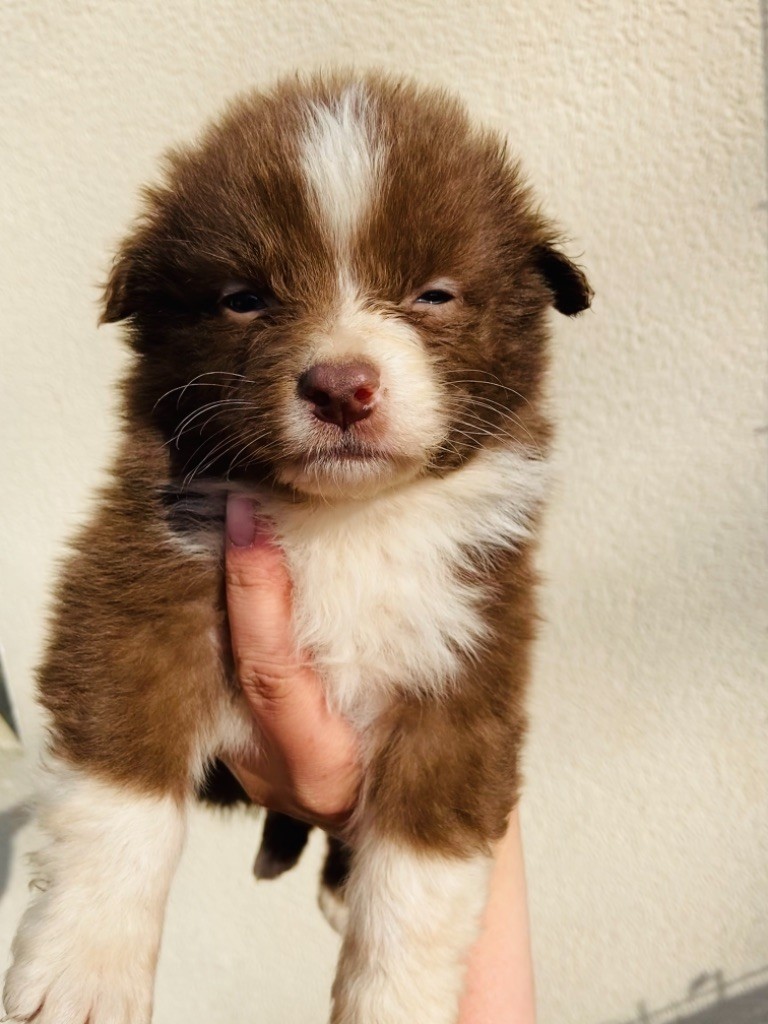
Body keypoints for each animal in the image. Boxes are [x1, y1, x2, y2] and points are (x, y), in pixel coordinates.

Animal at [3, 71, 591, 1024]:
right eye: (245, 298)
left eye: (434, 295)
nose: (341, 387)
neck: (344, 519)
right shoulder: (139, 598)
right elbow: (120, 797)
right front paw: (85, 970)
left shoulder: (465, 668)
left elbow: (419, 881)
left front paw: (390, 1003)